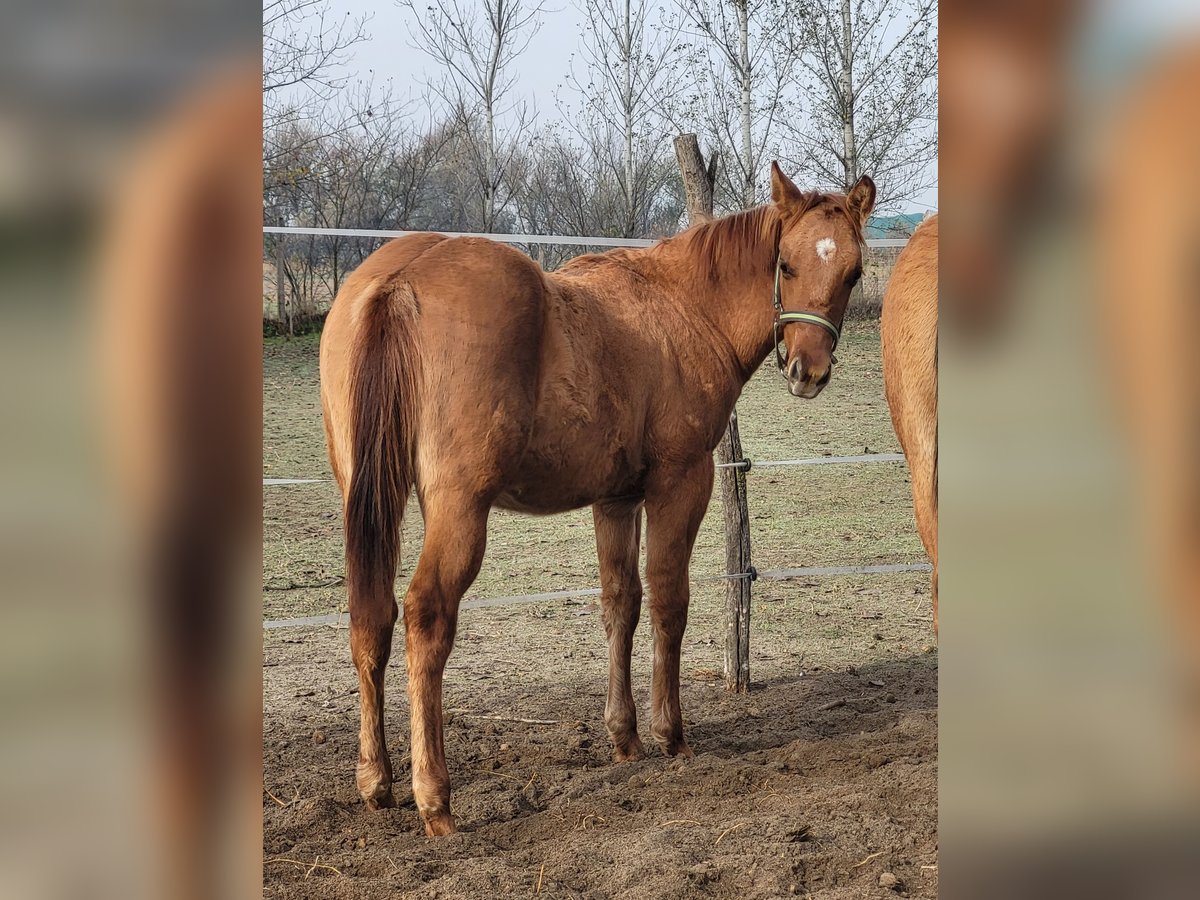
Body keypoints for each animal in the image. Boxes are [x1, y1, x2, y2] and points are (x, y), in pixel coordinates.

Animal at [319, 162, 875, 836]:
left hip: (371, 499)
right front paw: (671, 735)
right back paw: (435, 799)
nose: (807, 371)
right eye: (786, 264)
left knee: (370, 617)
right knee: (426, 617)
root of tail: (399, 281)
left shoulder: (615, 501)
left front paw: (625, 737)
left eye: (853, 271)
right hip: (458, 510)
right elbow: (668, 601)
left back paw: (377, 782)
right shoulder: (681, 484)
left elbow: (620, 605)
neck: (684, 308)